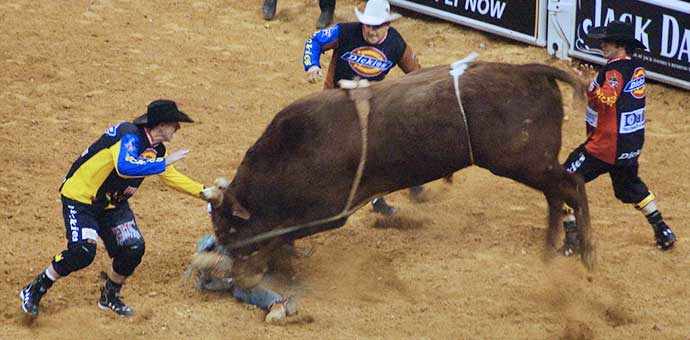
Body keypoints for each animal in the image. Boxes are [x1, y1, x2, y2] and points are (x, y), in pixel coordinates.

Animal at [204, 61, 592, 286]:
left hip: (522, 161)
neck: (289, 155)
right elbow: (282, 237)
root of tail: (529, 70)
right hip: (533, 163)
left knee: (571, 185)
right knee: (557, 194)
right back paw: (550, 251)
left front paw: (253, 271)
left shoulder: (328, 212)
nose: (224, 253)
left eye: (228, 226)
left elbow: (279, 237)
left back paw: (587, 254)